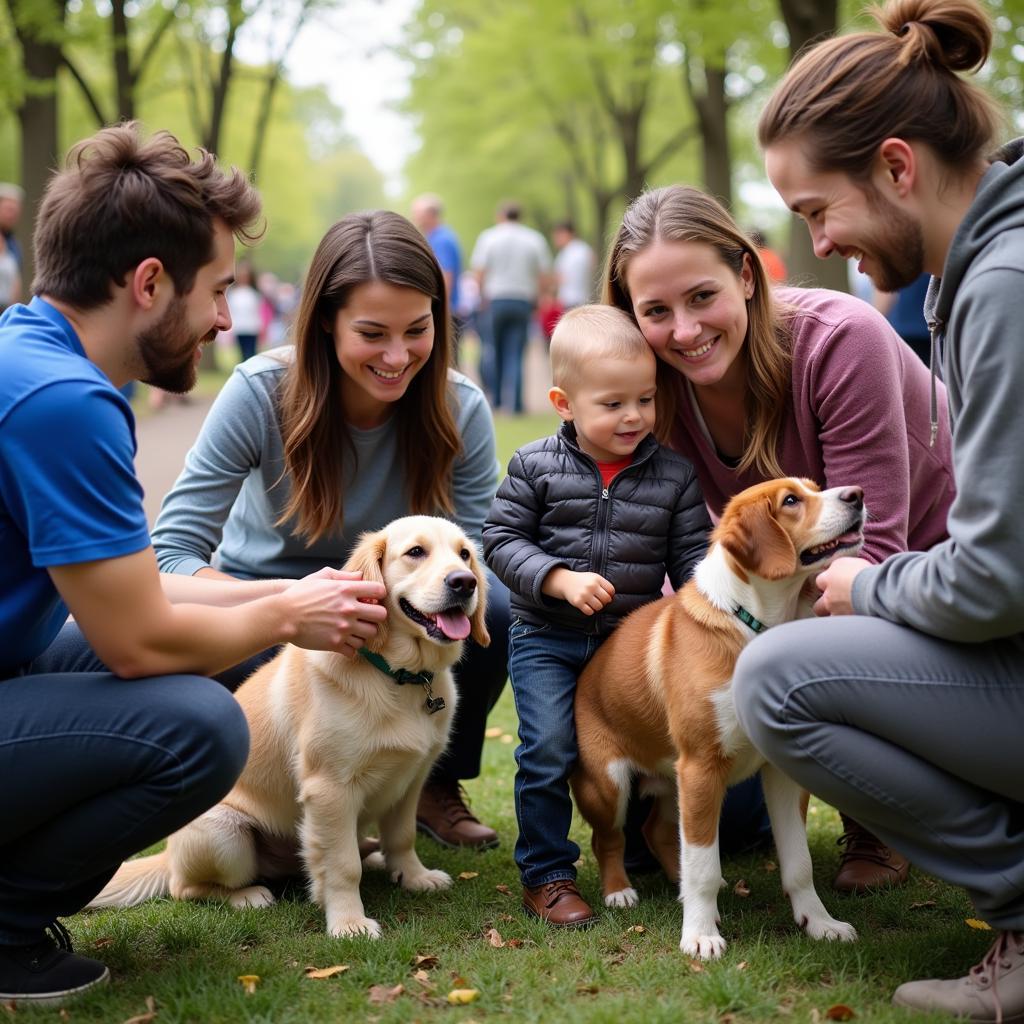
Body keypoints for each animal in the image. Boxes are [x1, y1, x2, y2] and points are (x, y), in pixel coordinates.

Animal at [87, 516, 487, 937]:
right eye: (416, 552)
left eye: (464, 554)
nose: (464, 582)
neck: (398, 676)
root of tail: (167, 856)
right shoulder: (329, 788)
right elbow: (343, 865)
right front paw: (348, 922)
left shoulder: (410, 779)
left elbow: (402, 837)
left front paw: (413, 876)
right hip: (224, 833)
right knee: (186, 889)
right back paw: (246, 896)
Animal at [577, 479, 864, 958]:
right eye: (791, 501)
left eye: (815, 488)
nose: (857, 495)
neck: (755, 627)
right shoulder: (701, 766)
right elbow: (703, 866)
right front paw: (699, 934)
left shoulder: (779, 772)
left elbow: (798, 862)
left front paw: (819, 922)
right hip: (609, 785)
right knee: (610, 838)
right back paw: (619, 891)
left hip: (672, 783)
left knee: (658, 831)